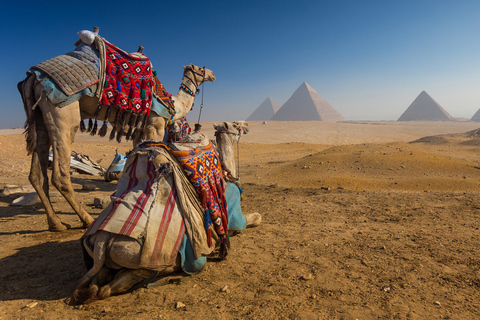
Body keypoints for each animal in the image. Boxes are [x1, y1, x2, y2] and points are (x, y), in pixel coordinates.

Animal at [17, 53, 215, 231]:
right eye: (200, 69)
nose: (212, 74)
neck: (175, 104)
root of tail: (32, 78)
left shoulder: (139, 132)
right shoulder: (155, 126)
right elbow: (158, 158)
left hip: (40, 117)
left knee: (37, 174)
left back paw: (56, 223)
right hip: (62, 112)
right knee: (60, 174)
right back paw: (86, 220)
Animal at [72, 122, 262, 302]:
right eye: (236, 125)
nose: (246, 127)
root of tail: (102, 239)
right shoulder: (234, 216)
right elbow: (255, 218)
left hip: (104, 255)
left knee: (100, 279)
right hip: (149, 258)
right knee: (121, 281)